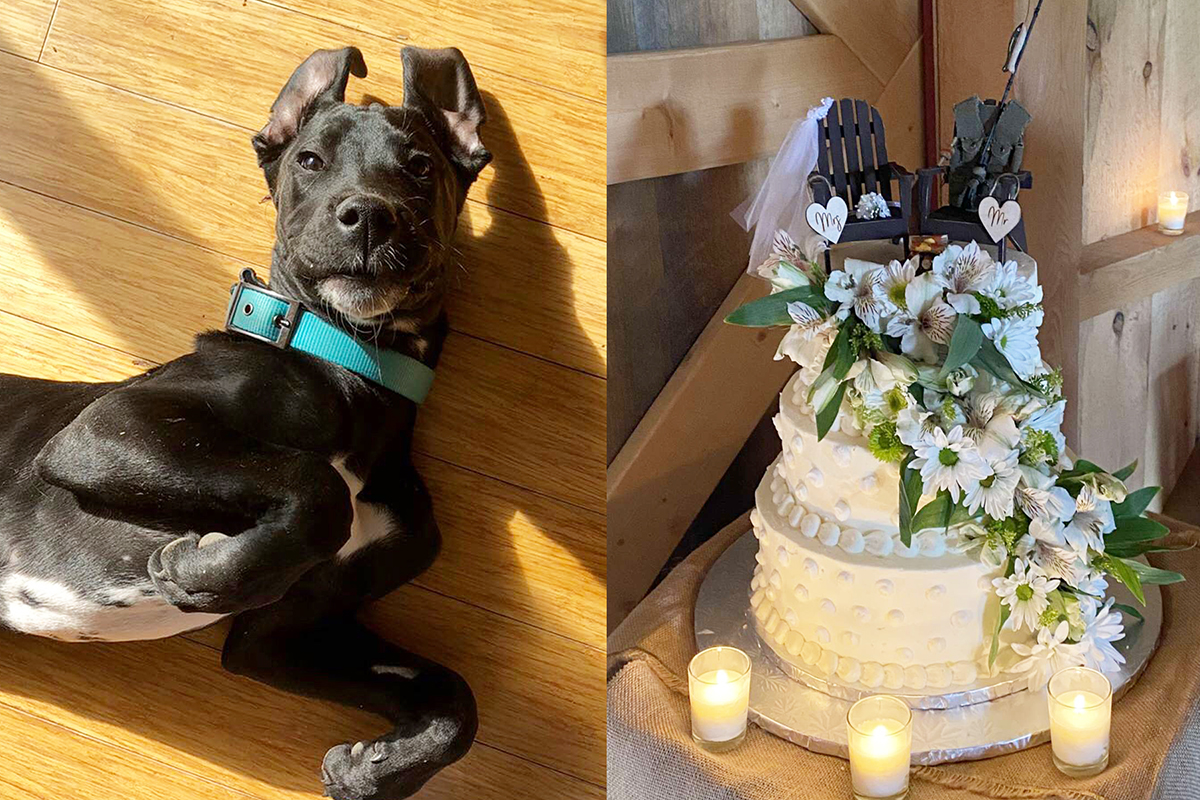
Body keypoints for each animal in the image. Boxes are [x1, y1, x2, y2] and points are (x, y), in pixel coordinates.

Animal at [1, 45, 487, 800]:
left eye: (420, 166)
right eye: (309, 160)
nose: (368, 217)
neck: (351, 370)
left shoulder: (280, 637)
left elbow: (456, 697)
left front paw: (374, 770)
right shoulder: (107, 428)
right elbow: (317, 488)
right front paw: (204, 571)